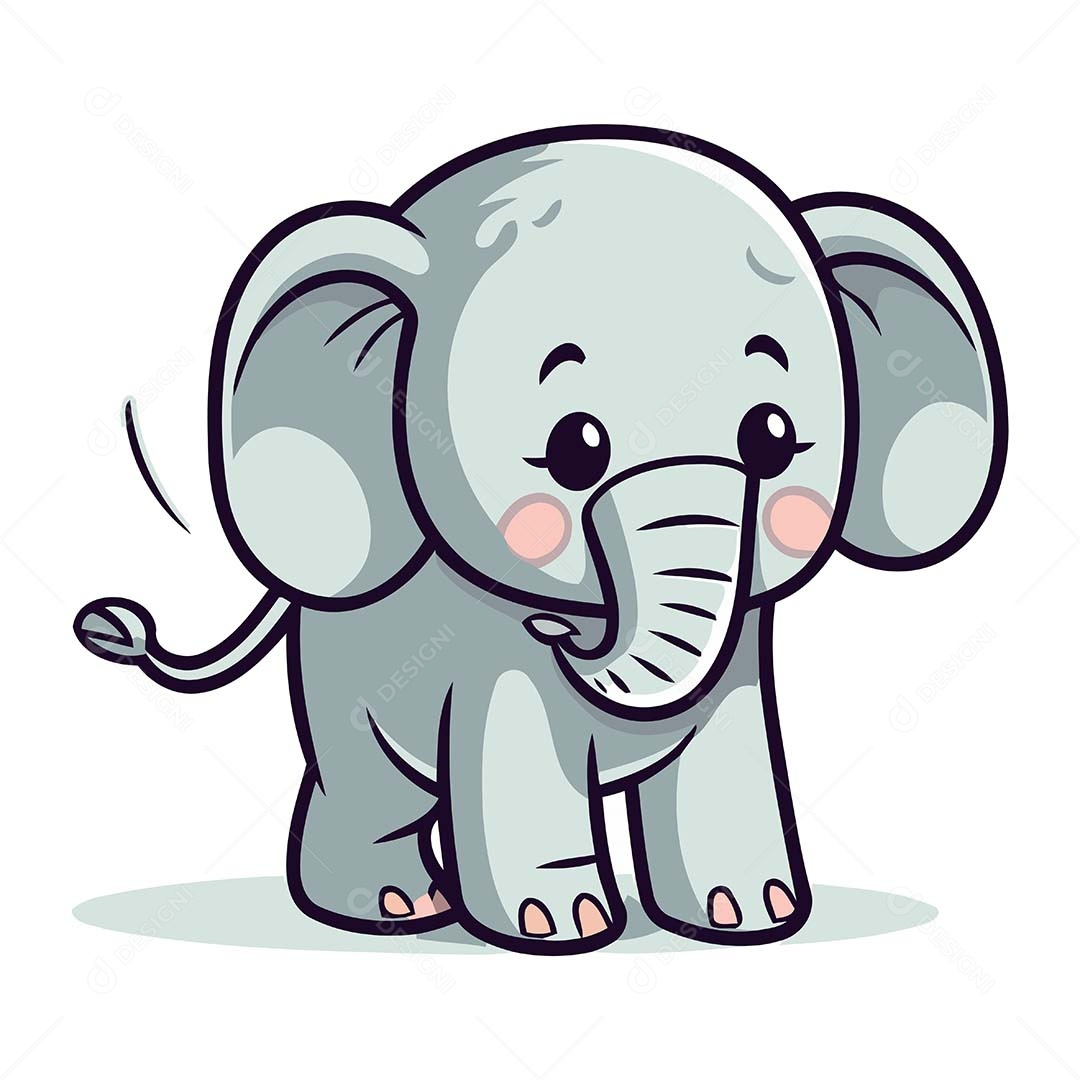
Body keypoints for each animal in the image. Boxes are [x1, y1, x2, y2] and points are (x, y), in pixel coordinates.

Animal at [74, 125, 1007, 954]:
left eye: (772, 438)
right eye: (574, 449)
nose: (564, 629)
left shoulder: (744, 652)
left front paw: (751, 916)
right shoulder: (488, 656)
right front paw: (561, 928)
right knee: (374, 788)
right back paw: (393, 907)